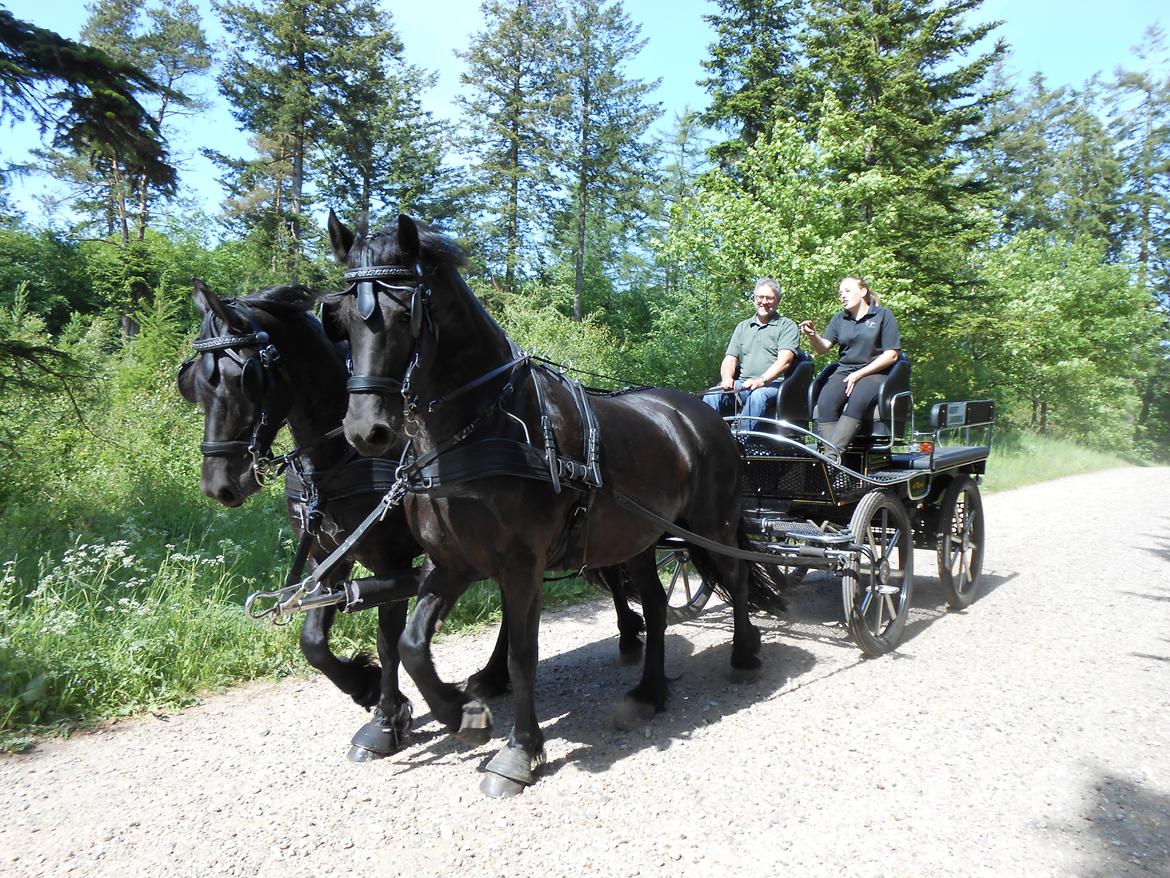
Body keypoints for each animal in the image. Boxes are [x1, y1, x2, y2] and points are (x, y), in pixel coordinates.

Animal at [180, 282, 650, 763]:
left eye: (245, 377)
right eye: (193, 384)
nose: (219, 486)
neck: (342, 458)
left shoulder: (396, 561)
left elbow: (388, 641)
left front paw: (385, 717)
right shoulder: (328, 557)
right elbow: (313, 641)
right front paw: (365, 688)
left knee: (614, 570)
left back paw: (629, 636)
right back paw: (493, 675)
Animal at [322, 211, 776, 796]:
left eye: (404, 313)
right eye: (340, 319)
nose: (366, 429)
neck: (477, 432)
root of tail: (704, 414)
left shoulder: (521, 565)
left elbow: (522, 654)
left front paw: (518, 752)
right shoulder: (452, 563)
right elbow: (411, 644)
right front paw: (462, 713)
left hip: (712, 525)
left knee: (736, 579)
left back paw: (743, 653)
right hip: (636, 538)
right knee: (655, 606)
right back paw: (649, 693)